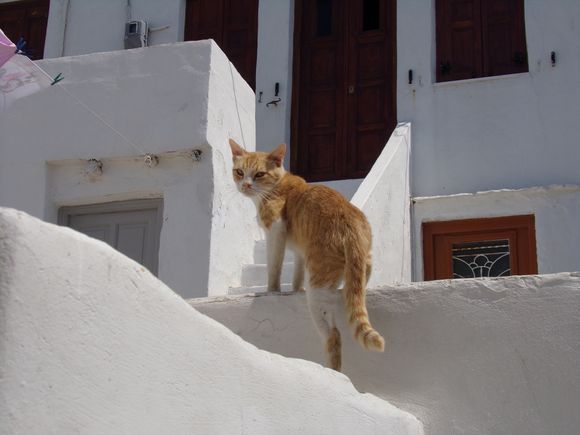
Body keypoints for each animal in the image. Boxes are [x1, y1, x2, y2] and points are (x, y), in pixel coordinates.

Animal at [228, 139, 386, 372]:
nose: (245, 185)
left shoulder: (276, 230)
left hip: (318, 288)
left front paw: (271, 291)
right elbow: (297, 273)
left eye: (259, 174)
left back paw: (333, 372)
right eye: (239, 172)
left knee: (333, 335)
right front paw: (295, 290)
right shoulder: (301, 250)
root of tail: (350, 221)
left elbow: (274, 267)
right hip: (365, 262)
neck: (275, 187)